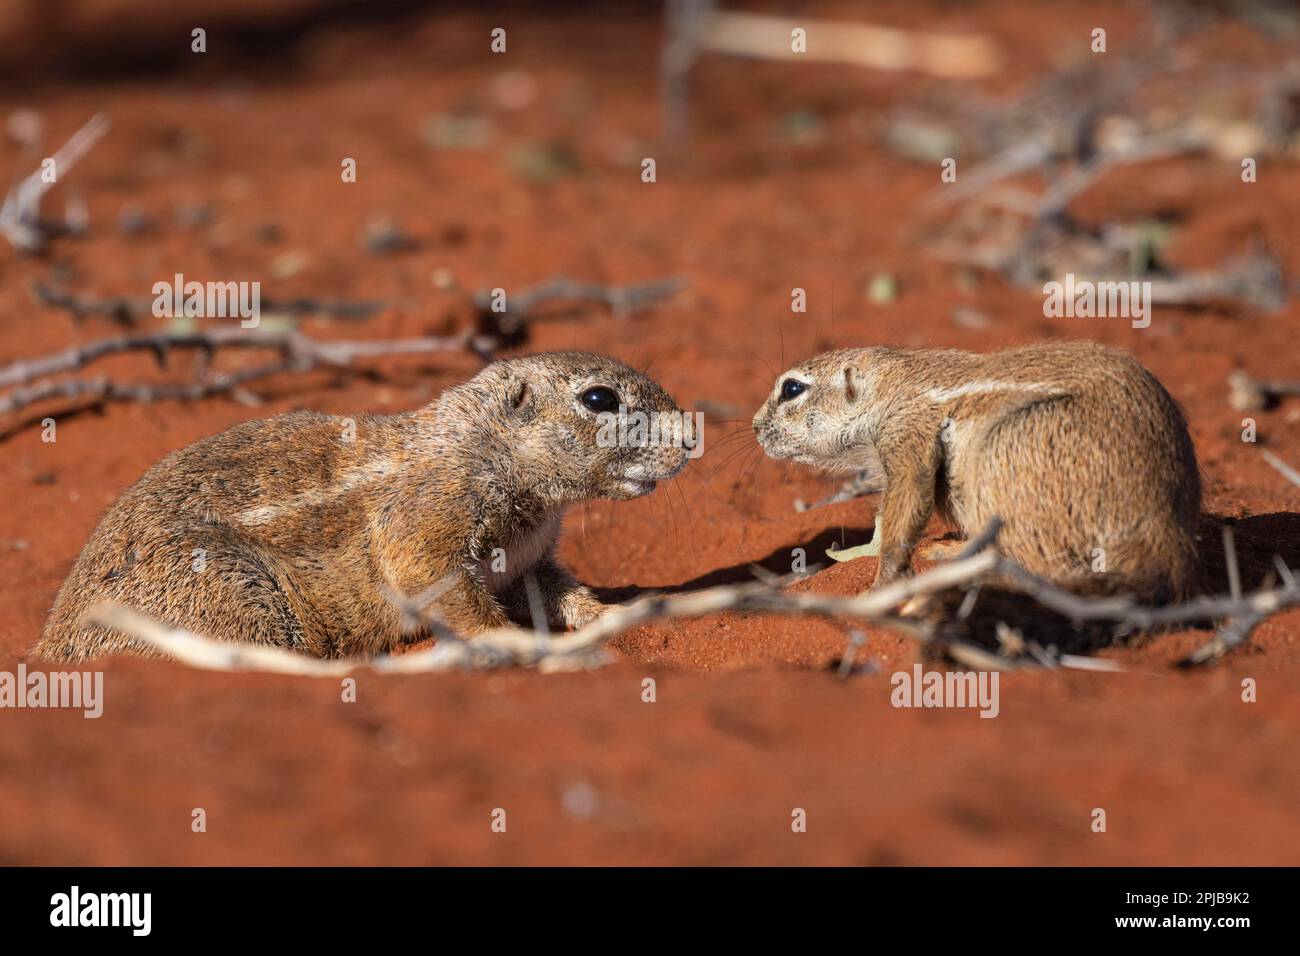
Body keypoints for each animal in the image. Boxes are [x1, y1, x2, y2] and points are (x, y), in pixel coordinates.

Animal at [38, 353, 691, 665]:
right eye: (599, 399)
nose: (690, 438)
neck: (486, 448)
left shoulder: (529, 560)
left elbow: (563, 590)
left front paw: (614, 613)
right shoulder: (427, 527)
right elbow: (447, 591)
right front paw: (522, 645)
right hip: (229, 590)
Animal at [759, 343, 1201, 598]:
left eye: (792, 389)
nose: (756, 428)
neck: (893, 384)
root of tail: (1161, 526)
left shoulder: (906, 432)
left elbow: (905, 505)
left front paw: (880, 583)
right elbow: (885, 517)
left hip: (1005, 442)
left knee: (1041, 567)